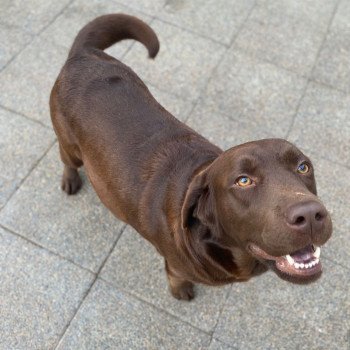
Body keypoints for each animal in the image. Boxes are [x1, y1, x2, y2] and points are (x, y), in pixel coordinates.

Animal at [50, 13, 332, 298]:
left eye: (303, 167)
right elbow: (176, 277)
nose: (310, 214)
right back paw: (70, 180)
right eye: (243, 180)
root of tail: (84, 53)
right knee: (66, 159)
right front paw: (182, 291)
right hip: (70, 145)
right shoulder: (175, 265)